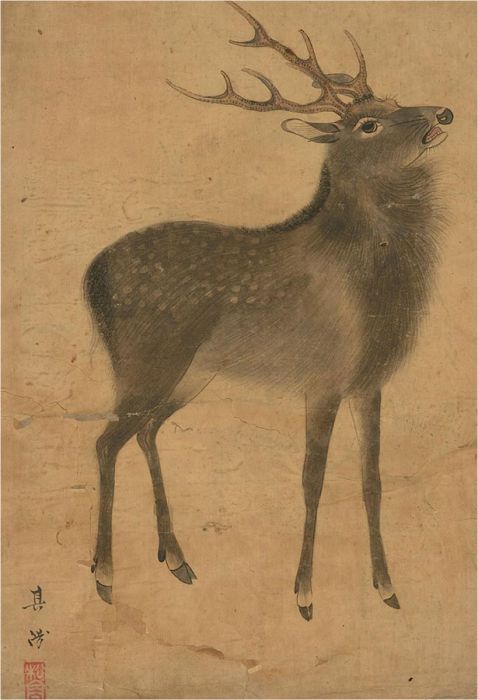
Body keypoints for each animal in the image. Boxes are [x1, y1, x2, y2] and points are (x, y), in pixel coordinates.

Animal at [85, 2, 453, 620]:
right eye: (368, 124)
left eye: (395, 99)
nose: (443, 110)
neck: (373, 299)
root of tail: (89, 279)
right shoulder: (324, 377)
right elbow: (312, 479)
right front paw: (303, 594)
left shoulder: (370, 382)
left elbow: (372, 480)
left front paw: (386, 588)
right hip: (144, 361)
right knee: (105, 440)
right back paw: (105, 575)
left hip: (192, 372)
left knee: (147, 431)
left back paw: (176, 559)